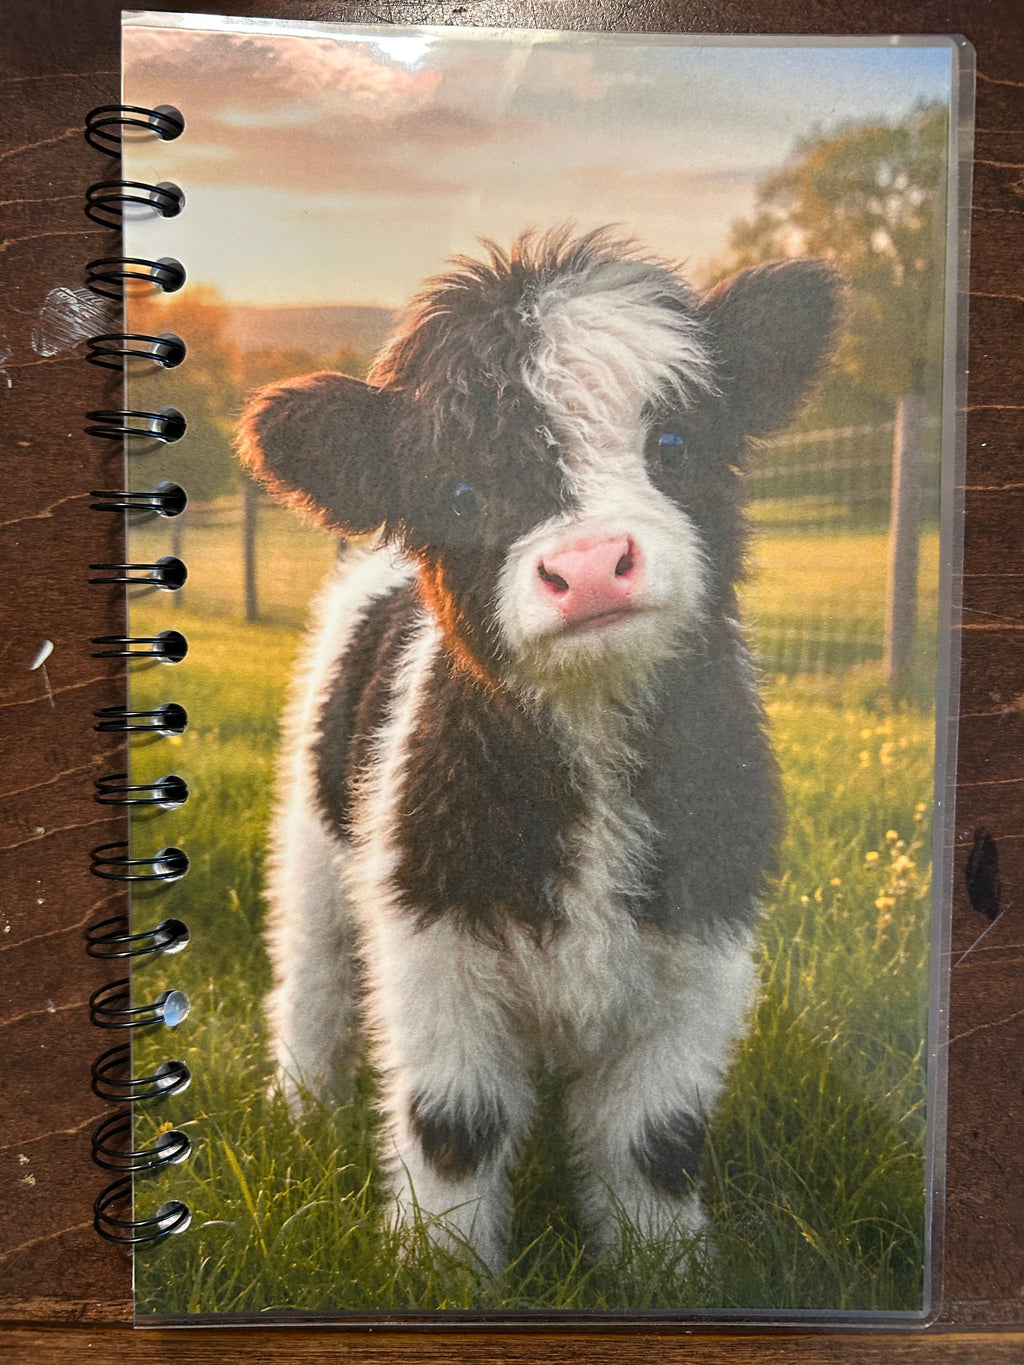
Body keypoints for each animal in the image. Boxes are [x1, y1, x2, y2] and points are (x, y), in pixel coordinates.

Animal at [237, 227, 840, 1274]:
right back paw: (301, 1115)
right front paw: (439, 1269)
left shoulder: (704, 950)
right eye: (459, 491)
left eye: (674, 442)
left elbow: (655, 1137)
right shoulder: (433, 938)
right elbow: (457, 1124)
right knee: (310, 986)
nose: (591, 566)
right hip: (312, 850)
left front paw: (662, 1270)